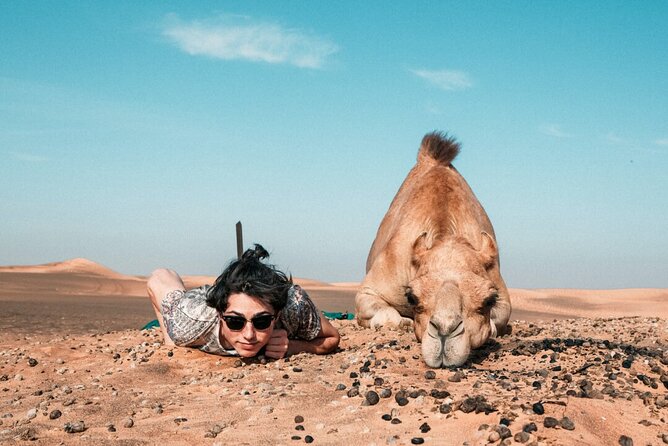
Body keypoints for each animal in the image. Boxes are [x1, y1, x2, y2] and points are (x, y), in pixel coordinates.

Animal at [355, 132, 511, 368]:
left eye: (489, 300)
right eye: (412, 297)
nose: (445, 332)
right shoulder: (373, 287)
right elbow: (387, 315)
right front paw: (400, 323)